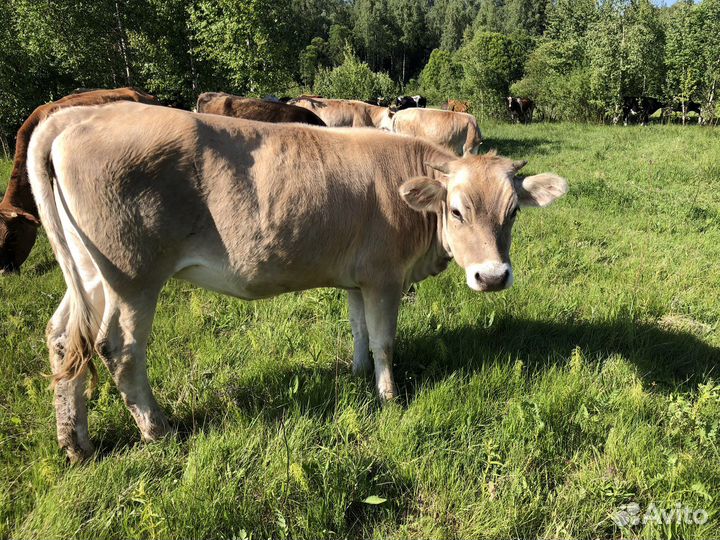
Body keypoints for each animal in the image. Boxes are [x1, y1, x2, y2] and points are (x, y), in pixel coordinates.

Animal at [27, 101, 567, 461]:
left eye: (513, 211)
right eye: (456, 210)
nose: (492, 276)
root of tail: (75, 115)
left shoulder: (356, 279)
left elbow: (359, 331)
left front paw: (356, 374)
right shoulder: (384, 278)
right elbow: (385, 341)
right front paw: (389, 397)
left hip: (90, 274)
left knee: (63, 339)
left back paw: (75, 443)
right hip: (132, 277)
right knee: (119, 348)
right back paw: (158, 431)